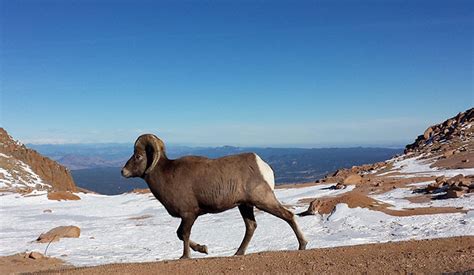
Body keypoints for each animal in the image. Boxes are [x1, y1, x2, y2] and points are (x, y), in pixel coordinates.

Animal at [121, 135, 308, 260]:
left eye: (138, 156)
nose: (123, 172)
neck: (166, 176)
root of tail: (263, 167)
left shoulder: (189, 215)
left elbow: (184, 234)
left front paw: (186, 256)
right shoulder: (188, 216)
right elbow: (180, 234)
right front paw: (204, 249)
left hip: (262, 201)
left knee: (288, 215)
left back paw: (302, 245)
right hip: (245, 205)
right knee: (251, 226)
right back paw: (238, 253)